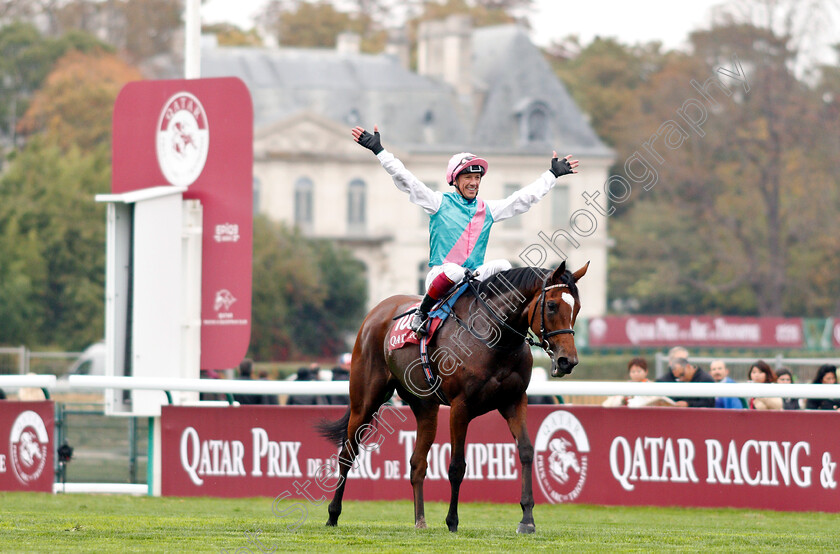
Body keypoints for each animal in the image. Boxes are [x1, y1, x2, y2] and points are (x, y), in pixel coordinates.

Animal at [318, 258, 588, 532]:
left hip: (425, 406)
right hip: (365, 400)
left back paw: (420, 520)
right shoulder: (461, 406)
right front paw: (452, 520)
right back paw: (333, 514)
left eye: (577, 307)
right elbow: (457, 465)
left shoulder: (514, 400)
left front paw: (527, 518)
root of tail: (376, 311)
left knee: (417, 463)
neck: (495, 337)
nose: (567, 361)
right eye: (552, 305)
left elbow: (526, 451)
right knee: (347, 454)